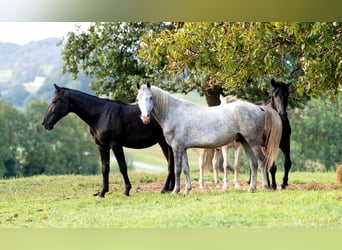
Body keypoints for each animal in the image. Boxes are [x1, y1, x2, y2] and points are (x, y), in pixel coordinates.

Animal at [42, 84, 175, 197]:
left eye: (55, 101)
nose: (45, 123)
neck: (100, 115)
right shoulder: (102, 146)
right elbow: (104, 168)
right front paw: (102, 192)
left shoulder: (116, 145)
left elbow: (122, 167)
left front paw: (126, 190)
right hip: (164, 143)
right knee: (171, 163)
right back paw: (170, 188)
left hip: (165, 142)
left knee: (170, 163)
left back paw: (165, 189)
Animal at [136, 83, 284, 194]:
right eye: (138, 99)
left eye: (150, 97)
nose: (145, 118)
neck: (174, 113)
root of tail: (259, 108)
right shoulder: (183, 149)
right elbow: (185, 169)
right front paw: (187, 190)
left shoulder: (177, 148)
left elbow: (177, 170)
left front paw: (175, 191)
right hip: (245, 142)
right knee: (253, 164)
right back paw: (251, 188)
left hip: (253, 142)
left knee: (261, 162)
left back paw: (264, 187)